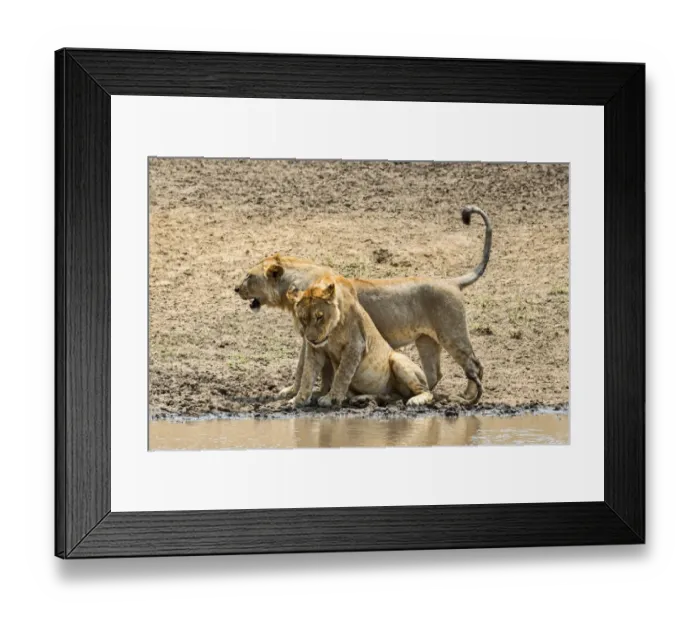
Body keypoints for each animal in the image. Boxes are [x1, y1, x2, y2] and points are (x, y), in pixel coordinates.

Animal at [286, 277, 433, 408]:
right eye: (303, 318)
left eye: (319, 317)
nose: (311, 339)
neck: (332, 333)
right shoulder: (315, 350)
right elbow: (307, 375)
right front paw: (297, 400)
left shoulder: (355, 345)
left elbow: (342, 374)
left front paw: (331, 398)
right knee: (391, 396)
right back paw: (361, 399)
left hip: (397, 359)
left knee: (426, 392)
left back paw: (416, 400)